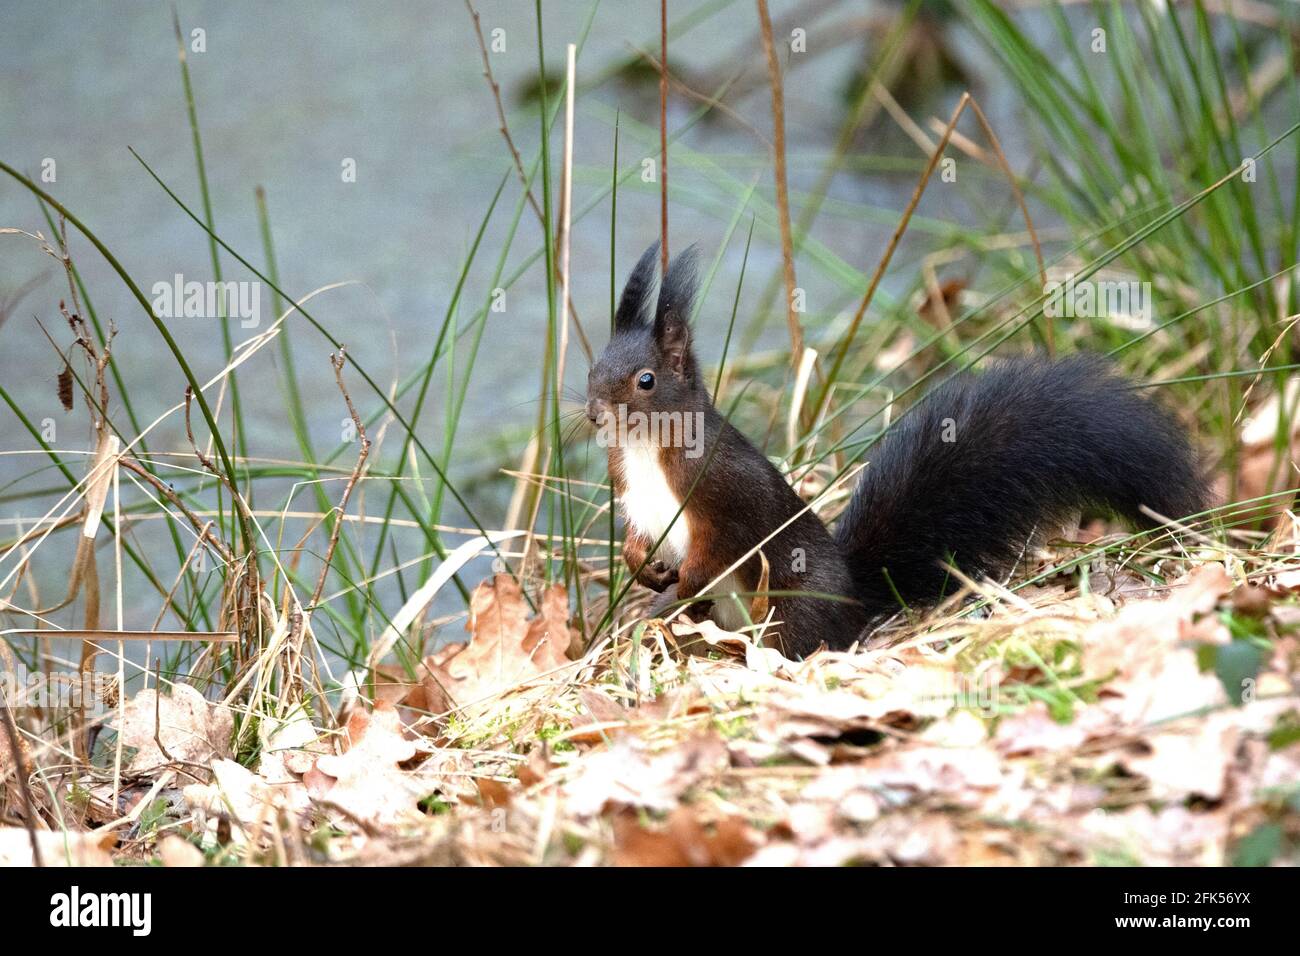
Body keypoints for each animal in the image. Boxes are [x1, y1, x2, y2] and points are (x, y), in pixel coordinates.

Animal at [585, 243, 1208, 658]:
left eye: (645, 381)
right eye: (592, 368)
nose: (593, 412)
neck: (645, 448)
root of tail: (858, 601)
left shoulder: (722, 494)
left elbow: (717, 551)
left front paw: (670, 593)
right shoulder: (632, 492)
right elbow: (637, 538)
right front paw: (644, 572)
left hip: (792, 605)